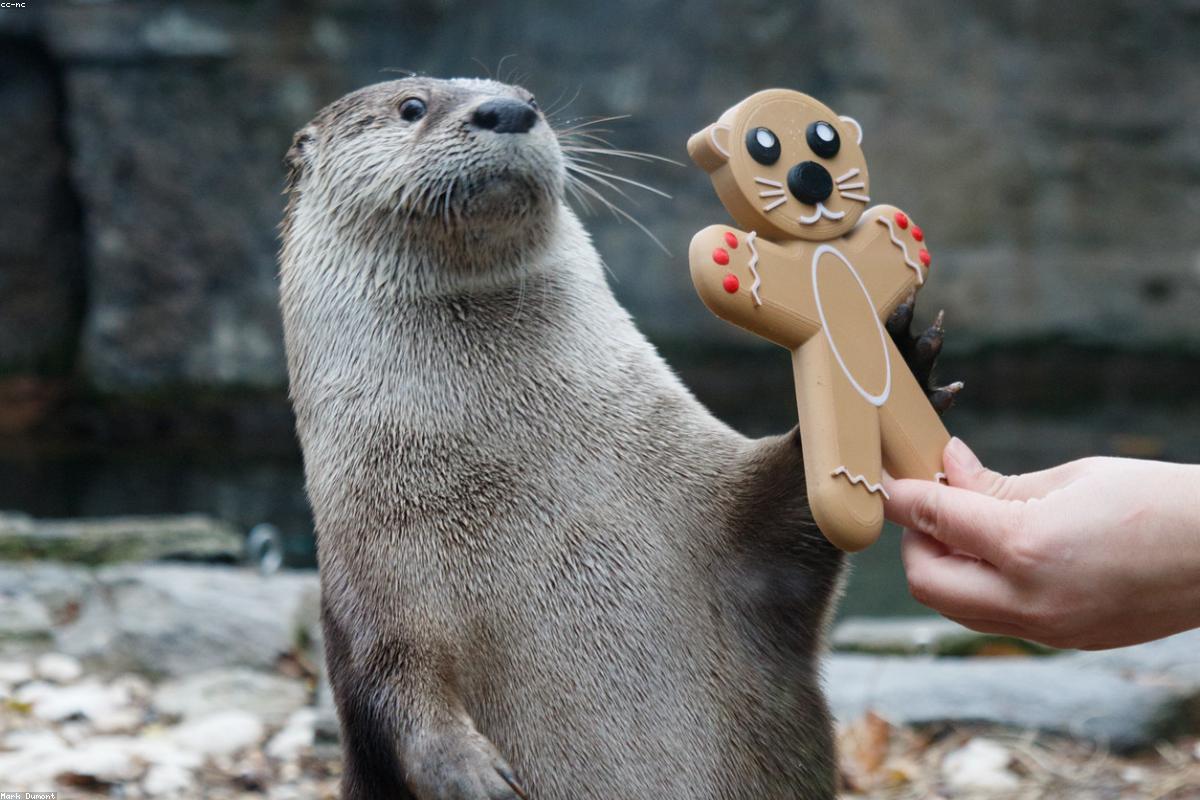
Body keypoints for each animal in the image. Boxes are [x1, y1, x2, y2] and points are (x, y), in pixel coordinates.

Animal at [279, 78, 949, 800]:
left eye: (529, 98)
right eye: (411, 106)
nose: (508, 111)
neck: (531, 486)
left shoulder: (707, 493)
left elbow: (784, 521)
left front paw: (895, 360)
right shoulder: (371, 578)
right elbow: (391, 688)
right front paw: (474, 773)